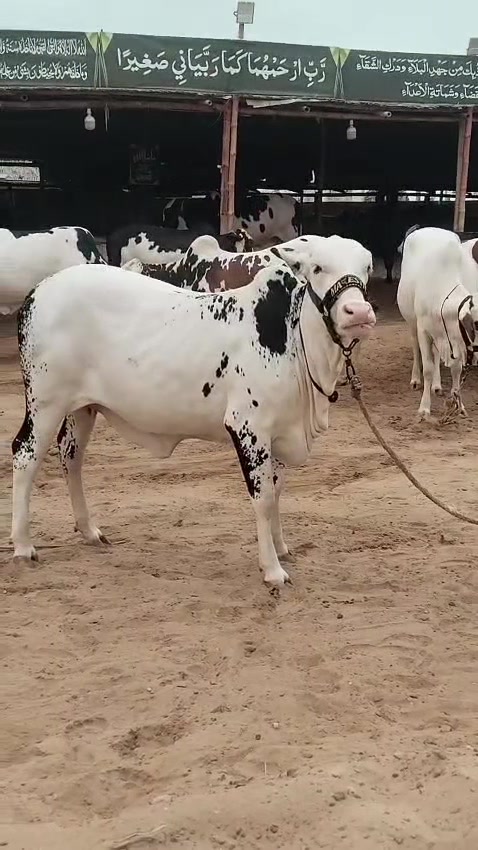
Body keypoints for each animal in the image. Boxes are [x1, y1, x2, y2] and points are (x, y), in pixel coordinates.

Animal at [10, 236, 375, 587]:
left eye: (366, 267)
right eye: (317, 267)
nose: (357, 312)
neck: (293, 338)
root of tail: (39, 291)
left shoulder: (279, 434)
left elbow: (277, 493)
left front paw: (281, 548)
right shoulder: (249, 428)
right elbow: (263, 498)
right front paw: (272, 569)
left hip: (82, 408)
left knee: (71, 457)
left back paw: (89, 530)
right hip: (45, 403)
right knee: (25, 455)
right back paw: (23, 545)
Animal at [397, 226, 478, 420]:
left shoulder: (455, 340)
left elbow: (456, 368)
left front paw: (459, 405)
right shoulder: (423, 330)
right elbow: (427, 367)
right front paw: (424, 408)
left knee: (436, 354)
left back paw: (437, 385)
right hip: (412, 322)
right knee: (416, 348)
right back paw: (416, 379)